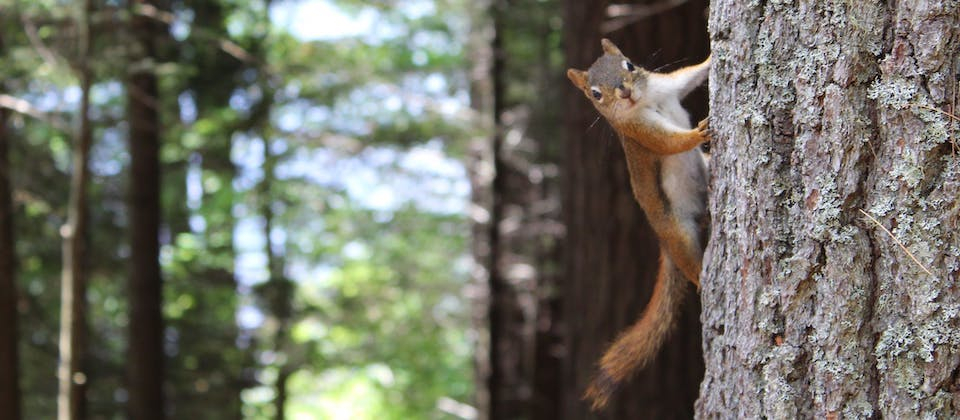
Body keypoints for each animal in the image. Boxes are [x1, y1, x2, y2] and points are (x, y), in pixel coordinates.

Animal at [568, 37, 708, 408]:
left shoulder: (668, 86)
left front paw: (713, 56)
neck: (647, 100)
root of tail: (663, 241)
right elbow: (669, 142)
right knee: (691, 265)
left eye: (629, 64)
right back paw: (704, 280)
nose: (625, 93)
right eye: (595, 94)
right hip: (678, 233)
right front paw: (697, 133)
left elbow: (691, 75)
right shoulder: (638, 132)